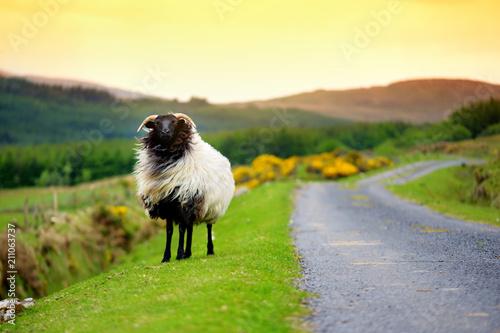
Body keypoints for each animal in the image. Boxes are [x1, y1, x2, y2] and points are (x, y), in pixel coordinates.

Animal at [133, 113, 234, 260]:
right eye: (156, 124)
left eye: (175, 123)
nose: (165, 132)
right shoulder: (167, 204)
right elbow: (169, 231)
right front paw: (166, 257)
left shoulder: (184, 201)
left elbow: (181, 229)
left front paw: (179, 254)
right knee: (190, 228)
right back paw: (188, 253)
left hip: (211, 207)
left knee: (208, 227)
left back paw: (209, 250)